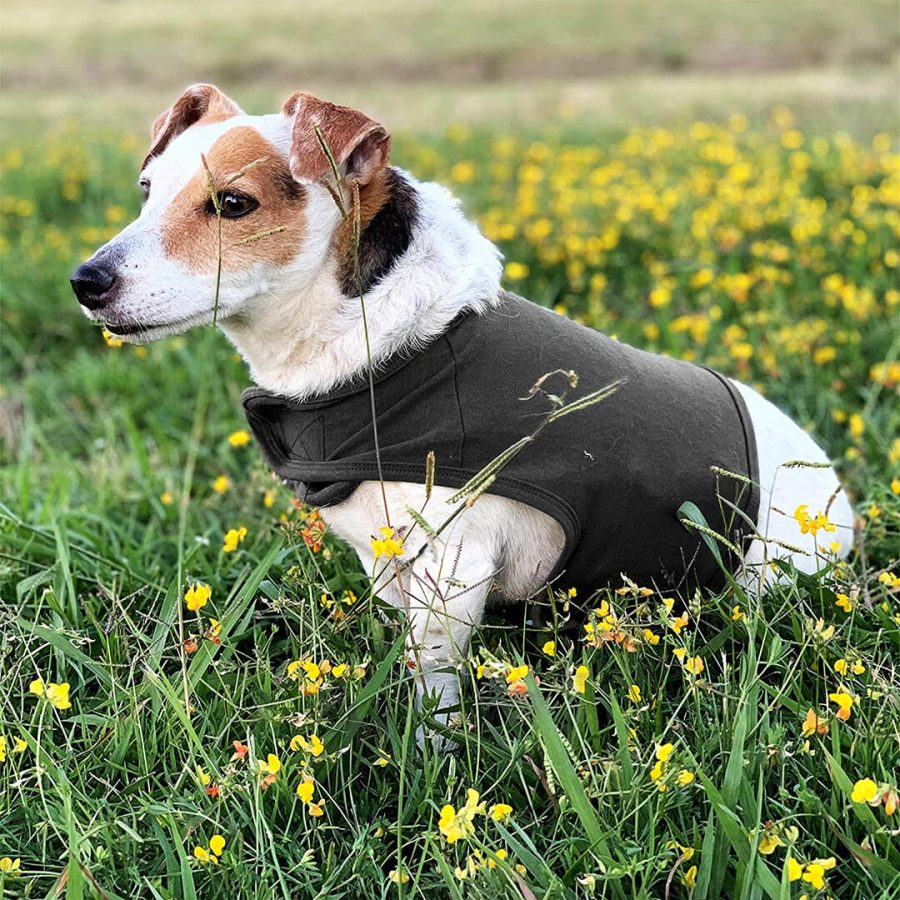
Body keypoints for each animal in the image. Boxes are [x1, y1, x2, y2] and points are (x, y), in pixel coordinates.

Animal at [74, 82, 856, 732]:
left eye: (232, 203)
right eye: (146, 190)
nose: (86, 280)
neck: (388, 350)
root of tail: (839, 500)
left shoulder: (456, 561)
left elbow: (437, 685)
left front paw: (433, 756)